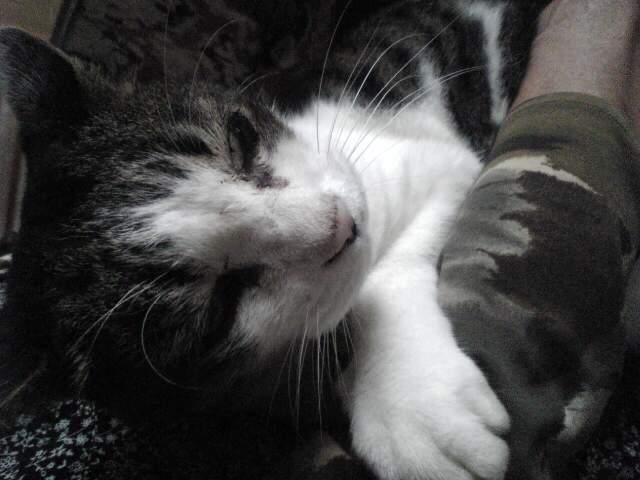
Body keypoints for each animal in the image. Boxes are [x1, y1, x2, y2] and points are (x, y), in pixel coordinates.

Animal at [0, 0, 548, 478]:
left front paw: (411, 401)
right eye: (220, 308)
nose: (343, 223)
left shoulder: (432, 159)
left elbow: (382, 267)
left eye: (241, 137)